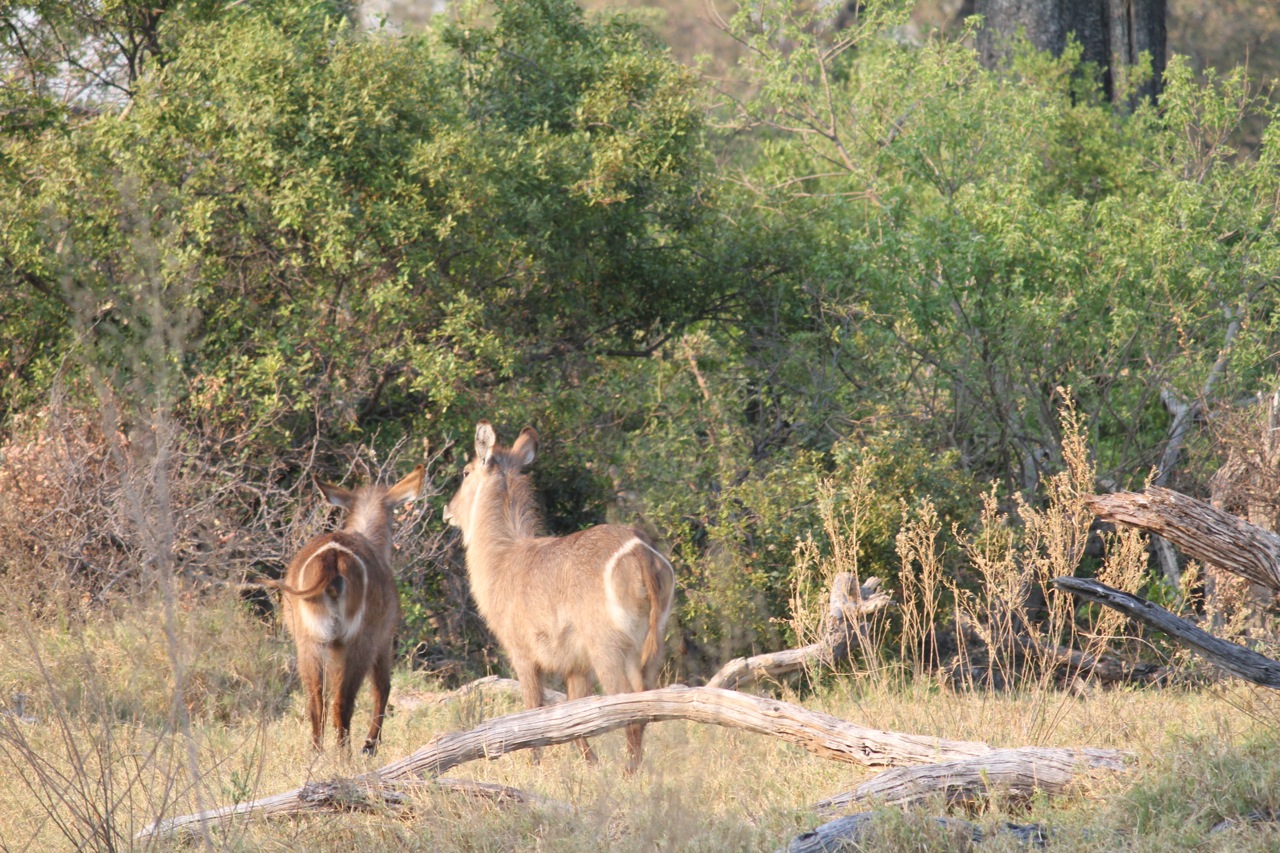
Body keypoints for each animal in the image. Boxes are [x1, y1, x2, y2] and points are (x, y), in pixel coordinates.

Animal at [271, 466, 424, 753]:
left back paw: (318, 754)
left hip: (309, 641)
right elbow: (383, 687)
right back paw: (348, 754)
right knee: (344, 702)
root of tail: (332, 559)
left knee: (316, 700)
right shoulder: (384, 637)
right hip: (357, 640)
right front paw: (371, 745)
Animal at [442, 422, 675, 768]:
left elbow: (533, 710)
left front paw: (534, 766)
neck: (503, 557)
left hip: (607, 649)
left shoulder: (522, 653)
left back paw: (627, 774)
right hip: (650, 646)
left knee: (627, 707)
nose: (447, 510)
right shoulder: (574, 665)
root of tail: (640, 551)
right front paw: (591, 765)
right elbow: (573, 719)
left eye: (466, 471)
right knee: (645, 706)